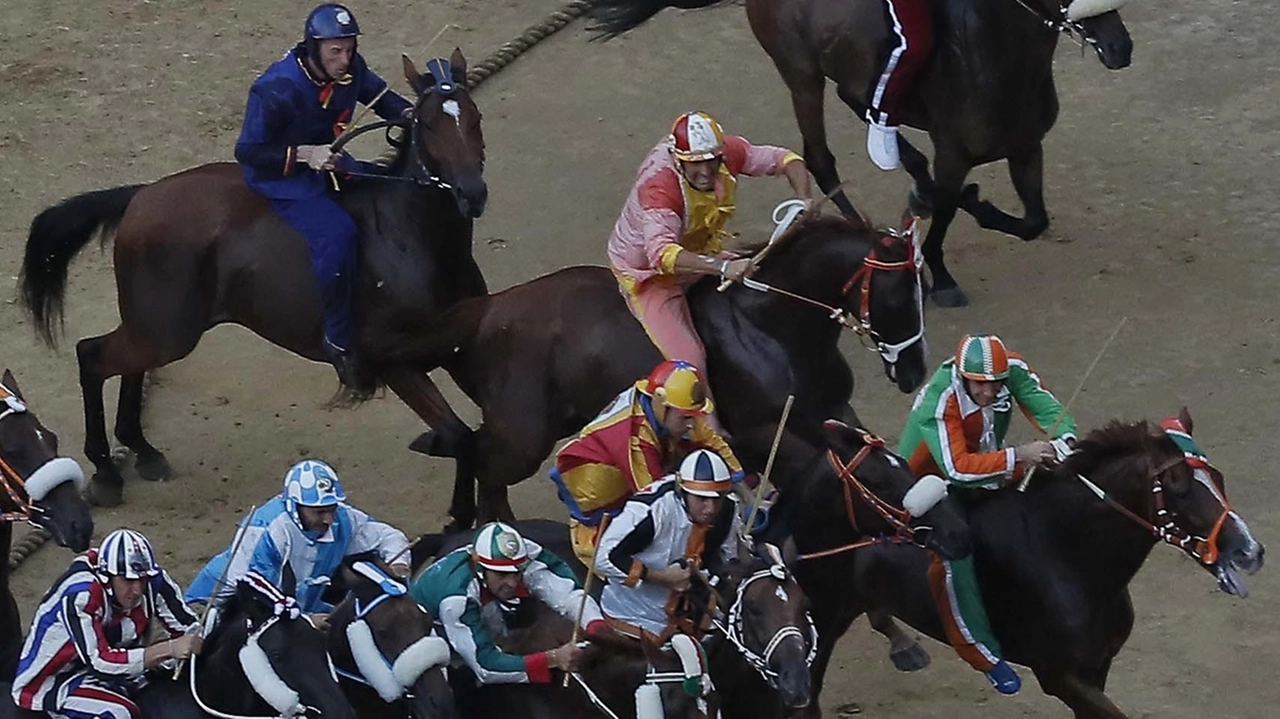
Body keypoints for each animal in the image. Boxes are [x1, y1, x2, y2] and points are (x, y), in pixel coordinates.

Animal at [20, 50, 488, 506]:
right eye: (428, 124)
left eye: (474, 117)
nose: (472, 193)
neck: (408, 239)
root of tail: (142, 195)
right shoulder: (396, 365)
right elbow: (460, 436)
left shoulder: (464, 350)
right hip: (166, 331)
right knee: (92, 357)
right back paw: (105, 471)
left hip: (157, 328)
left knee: (129, 366)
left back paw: (142, 449)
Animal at [366, 209, 926, 524]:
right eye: (898, 295)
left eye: (919, 288)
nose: (915, 373)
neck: (772, 327)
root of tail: (488, 309)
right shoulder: (767, 435)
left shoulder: (834, 413)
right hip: (525, 437)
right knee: (488, 465)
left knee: (477, 445)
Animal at [586, 0, 1136, 304]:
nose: (1119, 47)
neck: (992, 56)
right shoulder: (954, 152)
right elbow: (943, 212)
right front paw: (941, 275)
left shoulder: (1026, 147)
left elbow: (1032, 221)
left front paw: (969, 205)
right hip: (800, 74)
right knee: (819, 156)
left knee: (860, 103)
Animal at [757, 409, 1259, 716]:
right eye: (1178, 488)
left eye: (1217, 477)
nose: (1251, 551)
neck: (1070, 557)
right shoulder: (1059, 675)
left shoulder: (1098, 666)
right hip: (820, 623)